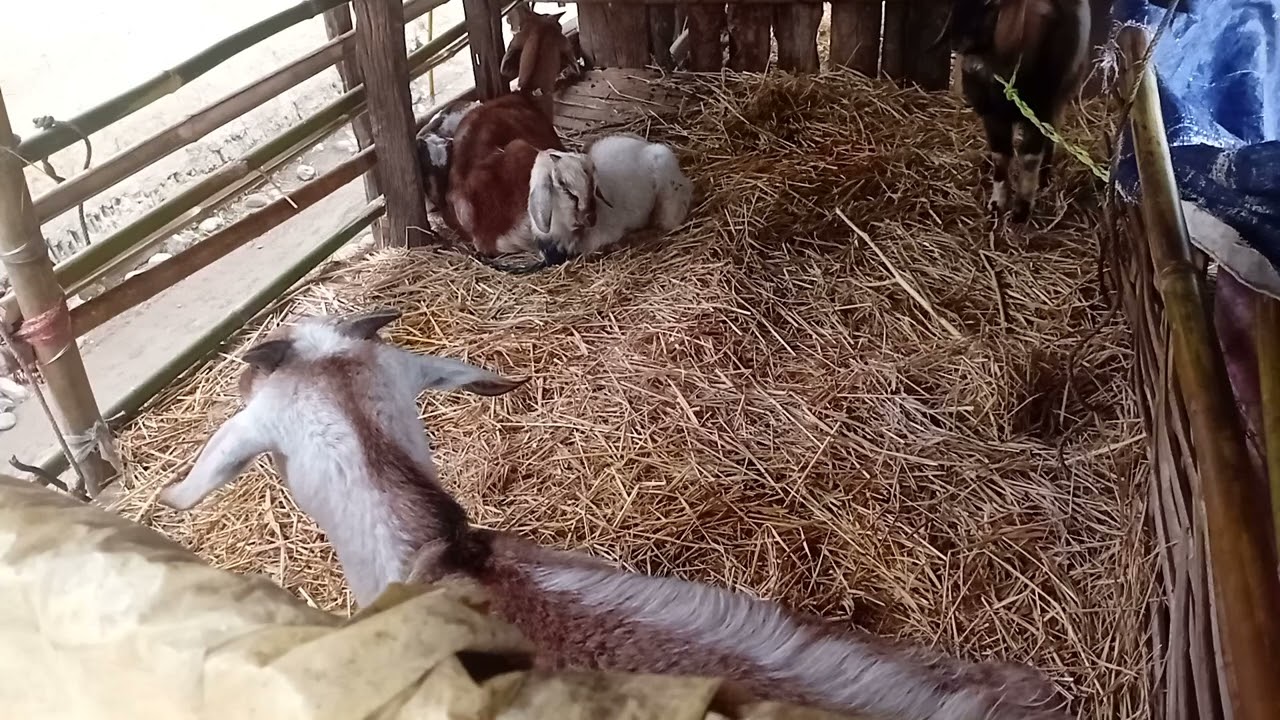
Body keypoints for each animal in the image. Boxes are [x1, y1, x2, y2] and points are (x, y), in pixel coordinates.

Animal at [949, 0, 1091, 222]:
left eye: (991, 3)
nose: (957, 42)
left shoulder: (1040, 113)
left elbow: (1029, 159)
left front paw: (1022, 209)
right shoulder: (993, 115)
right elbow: (1000, 157)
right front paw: (997, 203)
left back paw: (1045, 175)